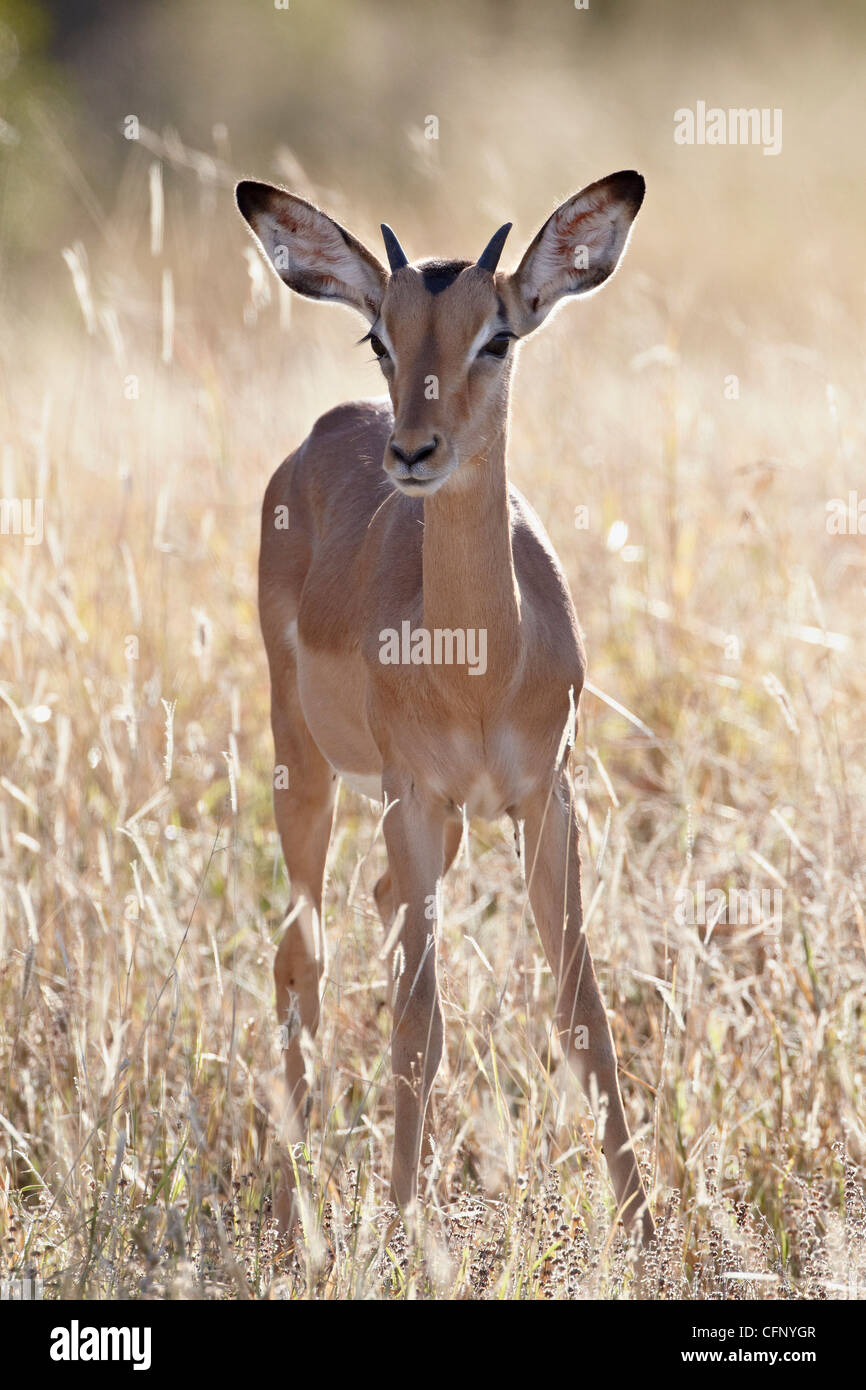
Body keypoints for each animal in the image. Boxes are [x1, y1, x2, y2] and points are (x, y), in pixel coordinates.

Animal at [236, 170, 655, 1247]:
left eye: (496, 335)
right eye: (378, 336)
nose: (414, 452)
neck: (479, 668)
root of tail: (325, 431)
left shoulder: (546, 799)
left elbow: (583, 1010)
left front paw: (647, 1233)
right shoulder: (415, 797)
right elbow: (422, 1028)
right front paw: (398, 1232)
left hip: (449, 819)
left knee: (378, 912)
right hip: (307, 765)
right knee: (301, 955)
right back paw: (295, 1208)